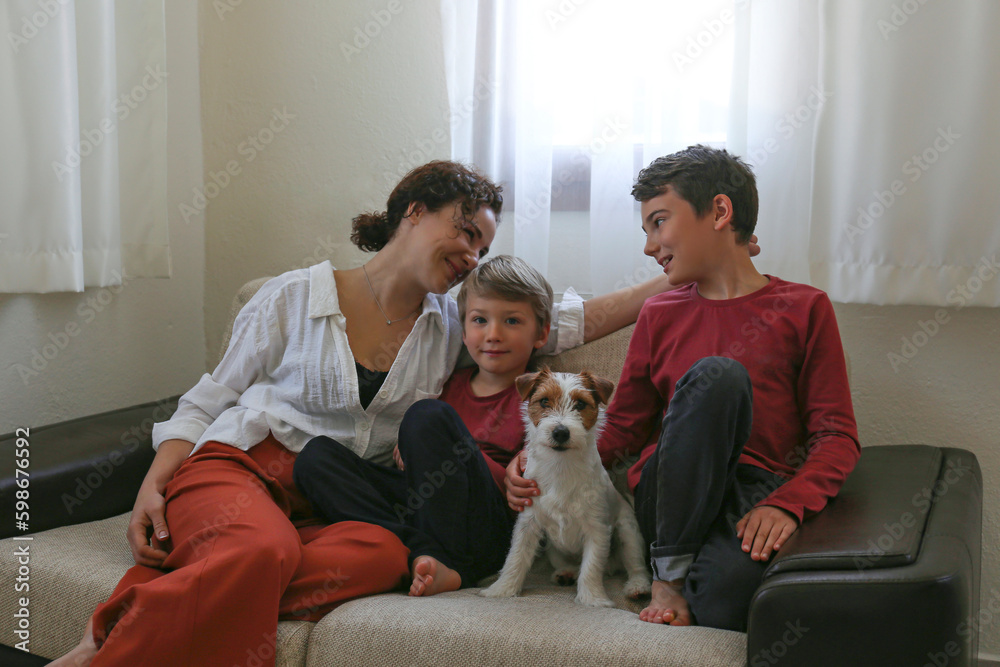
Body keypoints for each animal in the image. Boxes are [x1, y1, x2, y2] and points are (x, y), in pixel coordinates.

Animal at [480, 368, 652, 608]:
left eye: (580, 404)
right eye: (544, 401)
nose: (561, 432)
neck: (560, 465)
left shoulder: (597, 528)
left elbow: (591, 567)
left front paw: (592, 599)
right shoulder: (528, 523)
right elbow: (516, 557)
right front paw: (502, 589)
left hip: (628, 533)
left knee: (636, 566)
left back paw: (638, 587)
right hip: (553, 548)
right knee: (568, 563)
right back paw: (566, 573)